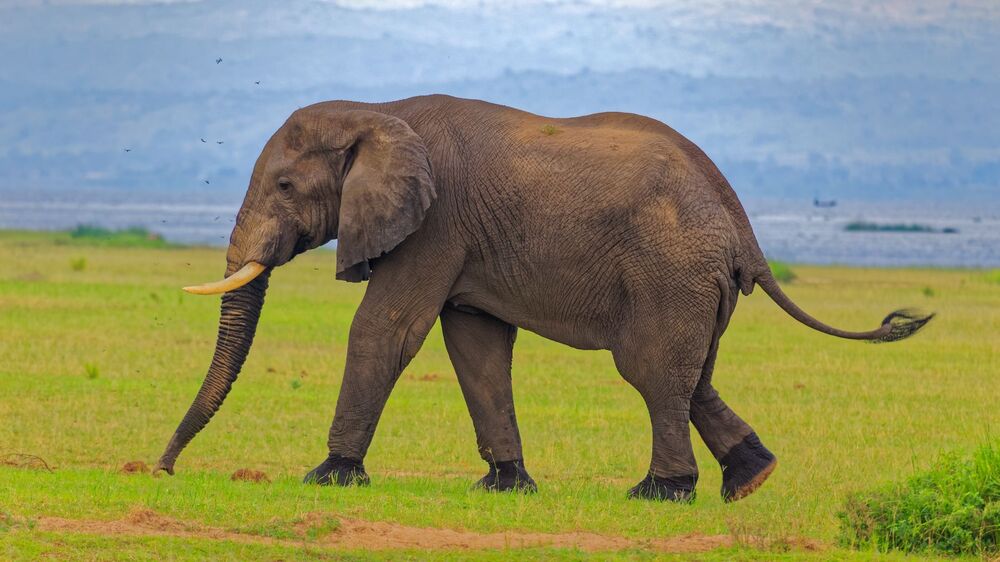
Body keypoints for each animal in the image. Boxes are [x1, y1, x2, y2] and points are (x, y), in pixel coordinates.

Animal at [153, 94, 932, 502]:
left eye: (285, 187)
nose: (161, 470)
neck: (377, 113)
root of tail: (739, 219)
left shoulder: (435, 225)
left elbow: (387, 329)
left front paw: (328, 478)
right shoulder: (460, 239)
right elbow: (474, 345)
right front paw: (505, 486)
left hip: (670, 271)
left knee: (653, 372)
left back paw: (660, 493)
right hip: (698, 284)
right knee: (693, 377)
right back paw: (750, 480)